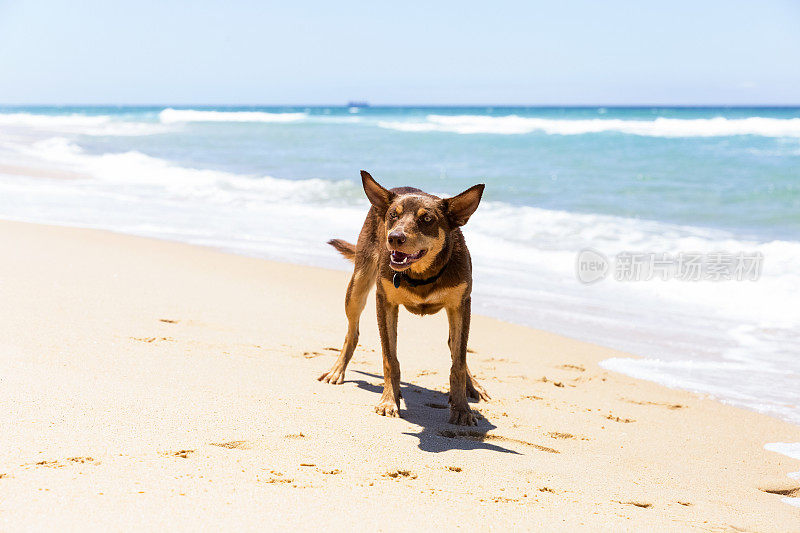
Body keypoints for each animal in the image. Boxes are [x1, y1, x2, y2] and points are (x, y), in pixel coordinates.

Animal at [318, 169, 488, 424]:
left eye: (427, 219)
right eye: (393, 215)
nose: (394, 237)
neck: (422, 274)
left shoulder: (460, 304)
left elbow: (458, 362)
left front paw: (461, 408)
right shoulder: (385, 301)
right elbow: (390, 358)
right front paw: (389, 400)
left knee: (455, 345)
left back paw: (472, 385)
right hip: (358, 285)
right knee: (352, 332)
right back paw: (338, 369)